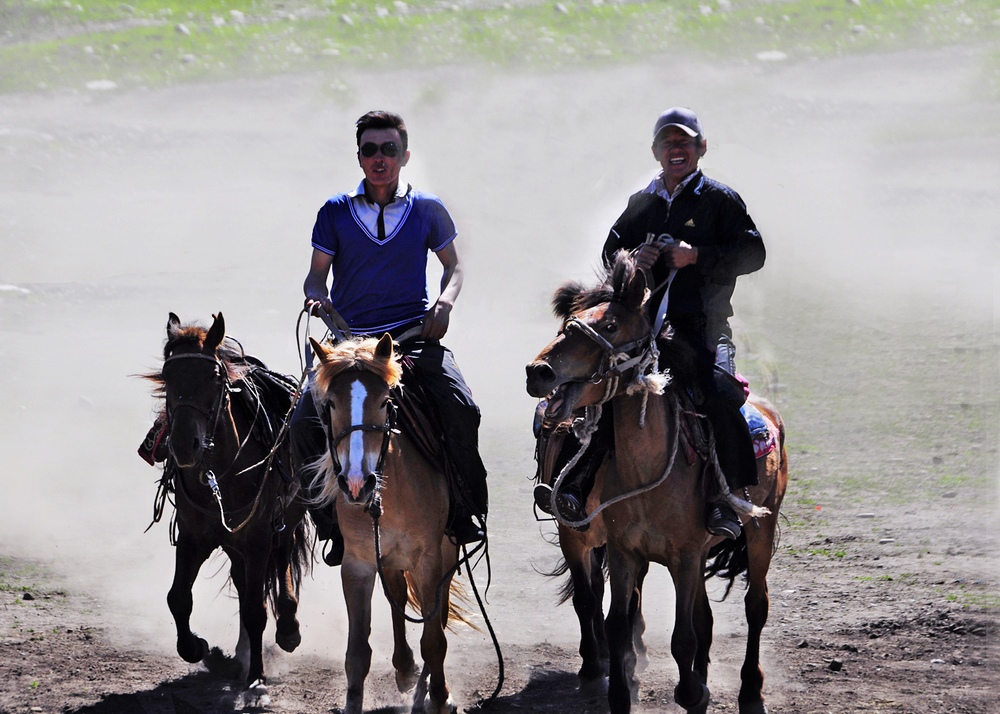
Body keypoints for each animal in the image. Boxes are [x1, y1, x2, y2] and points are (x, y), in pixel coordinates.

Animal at [146, 312, 306, 708]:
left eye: (214, 377)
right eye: (167, 375)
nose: (183, 445)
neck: (222, 472)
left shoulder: (258, 538)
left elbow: (255, 610)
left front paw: (257, 680)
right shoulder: (193, 537)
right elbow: (178, 598)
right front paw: (199, 648)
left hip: (284, 520)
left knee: (282, 562)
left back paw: (288, 630)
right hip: (234, 544)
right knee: (243, 579)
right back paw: (239, 654)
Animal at [306, 334, 466, 712]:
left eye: (384, 401)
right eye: (331, 403)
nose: (355, 482)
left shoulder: (428, 560)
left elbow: (434, 639)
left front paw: (440, 697)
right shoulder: (357, 564)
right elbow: (357, 653)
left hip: (446, 551)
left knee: (435, 612)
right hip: (390, 559)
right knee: (398, 597)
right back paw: (405, 670)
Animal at [524, 254, 788, 712]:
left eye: (610, 325)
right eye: (568, 323)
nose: (537, 372)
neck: (647, 475)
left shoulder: (684, 556)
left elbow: (682, 636)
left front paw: (689, 692)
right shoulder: (621, 550)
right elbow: (614, 618)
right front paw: (617, 687)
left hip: (759, 529)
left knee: (756, 605)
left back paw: (750, 690)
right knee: (700, 616)